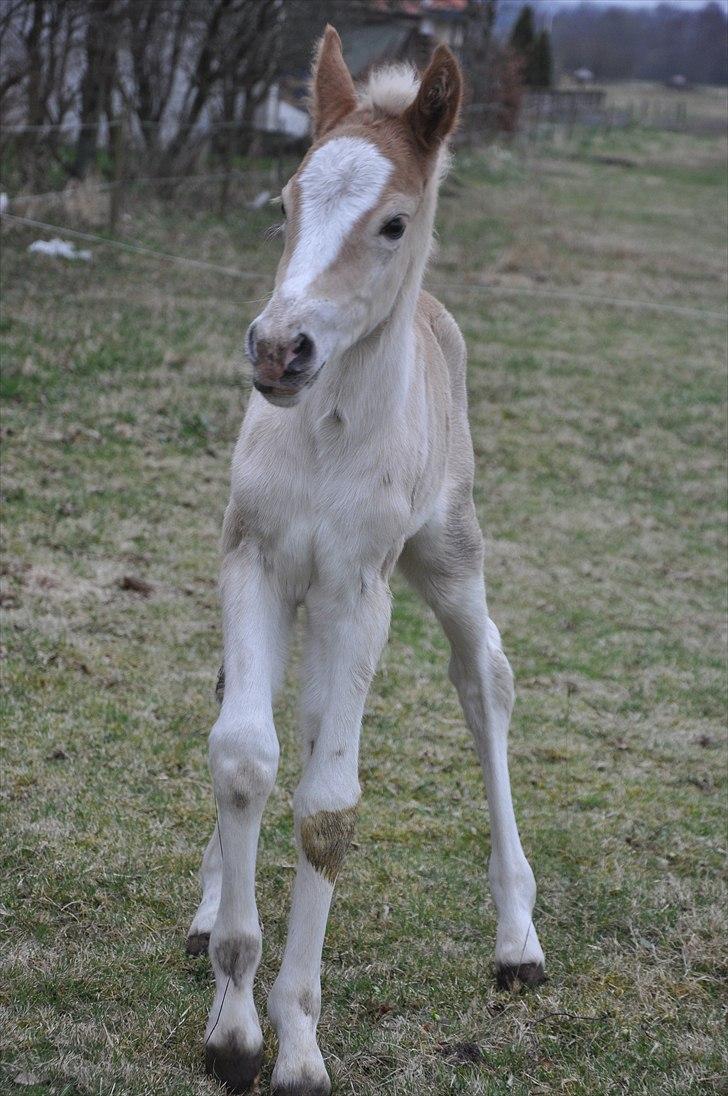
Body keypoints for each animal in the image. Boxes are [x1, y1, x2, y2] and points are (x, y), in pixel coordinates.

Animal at [187, 30, 546, 1091]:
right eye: (285, 204)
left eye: (393, 222)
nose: (278, 349)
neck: (327, 432)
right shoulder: (254, 561)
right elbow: (243, 755)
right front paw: (232, 1020)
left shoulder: (360, 589)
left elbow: (329, 811)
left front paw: (296, 1044)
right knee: (280, 720)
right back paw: (207, 909)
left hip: (448, 554)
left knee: (484, 677)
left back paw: (519, 940)